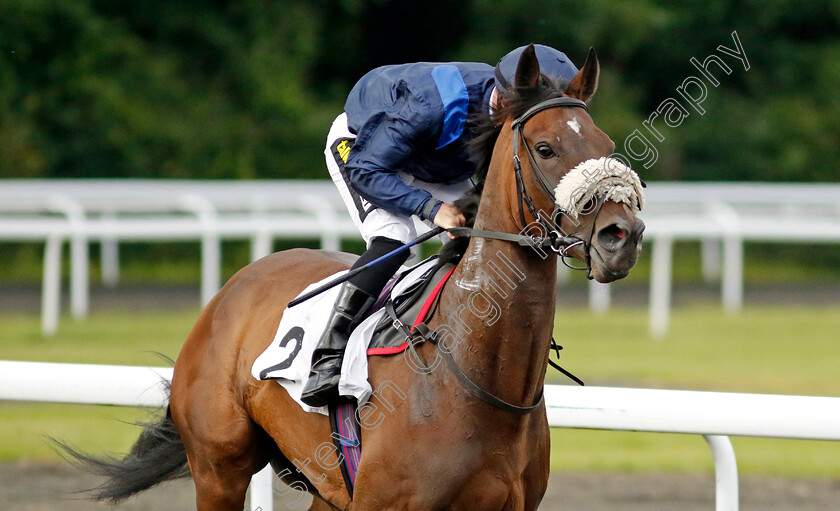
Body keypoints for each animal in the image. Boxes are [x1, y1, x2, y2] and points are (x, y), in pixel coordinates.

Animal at [65, 46, 644, 510]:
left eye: (606, 144)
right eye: (545, 148)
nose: (623, 235)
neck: (478, 378)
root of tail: (232, 288)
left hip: (323, 487)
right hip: (218, 470)